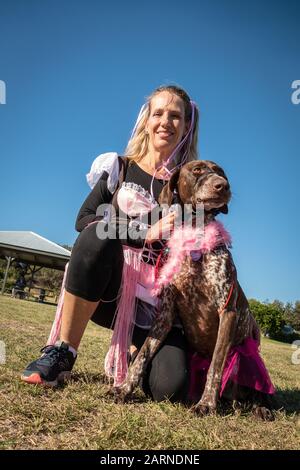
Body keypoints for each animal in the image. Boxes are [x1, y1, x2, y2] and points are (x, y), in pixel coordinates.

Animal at [114, 161, 274, 418]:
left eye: (221, 173)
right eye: (197, 170)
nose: (223, 186)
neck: (195, 239)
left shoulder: (227, 312)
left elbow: (216, 366)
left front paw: (206, 404)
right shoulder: (165, 315)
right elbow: (142, 355)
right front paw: (125, 388)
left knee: (261, 391)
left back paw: (261, 408)